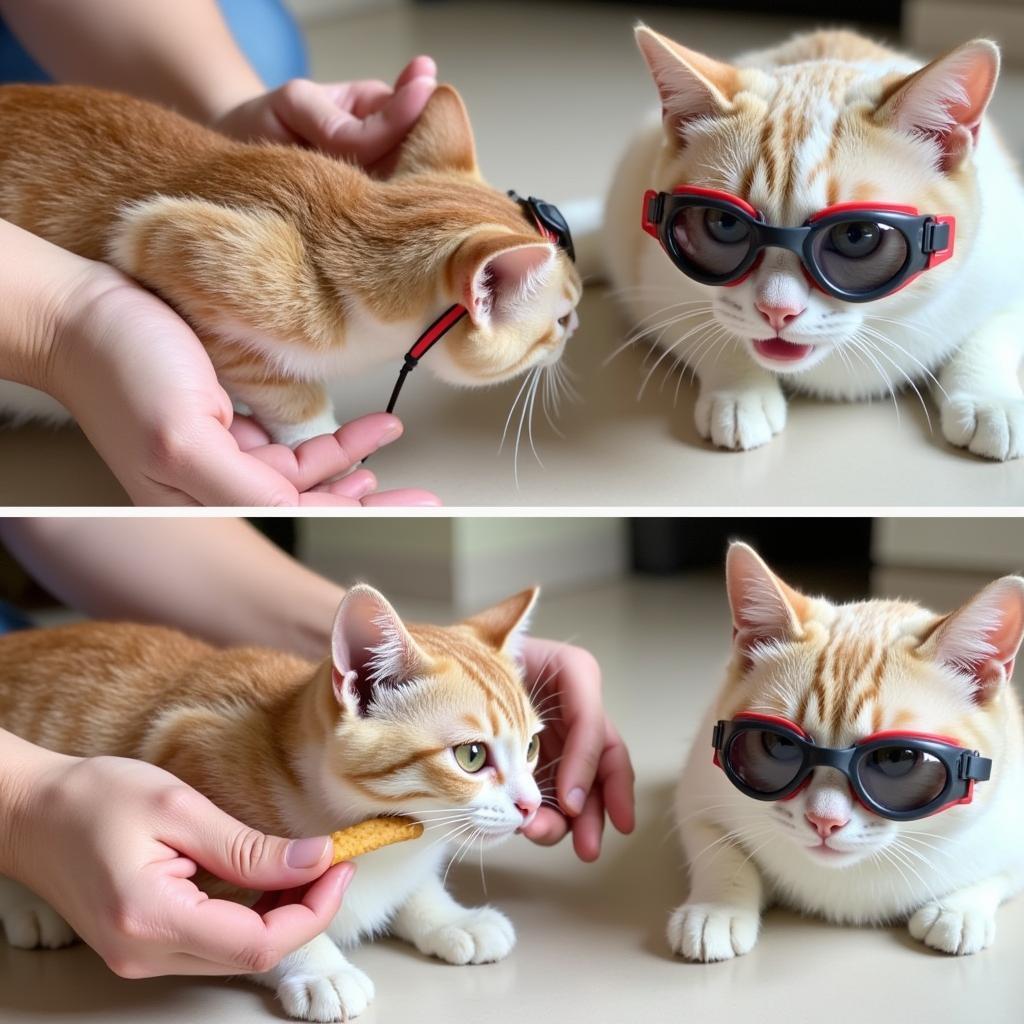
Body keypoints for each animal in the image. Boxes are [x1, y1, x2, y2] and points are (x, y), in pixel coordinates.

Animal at [0, 585, 544, 1024]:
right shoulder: (188, 757)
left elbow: (412, 887)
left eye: (533, 747)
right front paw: (319, 967)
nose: (532, 804)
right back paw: (32, 906)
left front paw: (449, 918)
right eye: (471, 756)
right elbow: (257, 906)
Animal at [602, 25, 1024, 458]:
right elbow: (710, 329)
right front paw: (739, 393)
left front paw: (990, 400)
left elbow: (989, 335)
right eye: (723, 223)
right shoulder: (654, 285)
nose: (776, 310)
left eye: (856, 236)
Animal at [671, 544, 1024, 958]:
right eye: (779, 744)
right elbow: (721, 855)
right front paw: (717, 908)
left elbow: (998, 872)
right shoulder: (694, 800)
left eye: (896, 759)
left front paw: (958, 910)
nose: (824, 820)